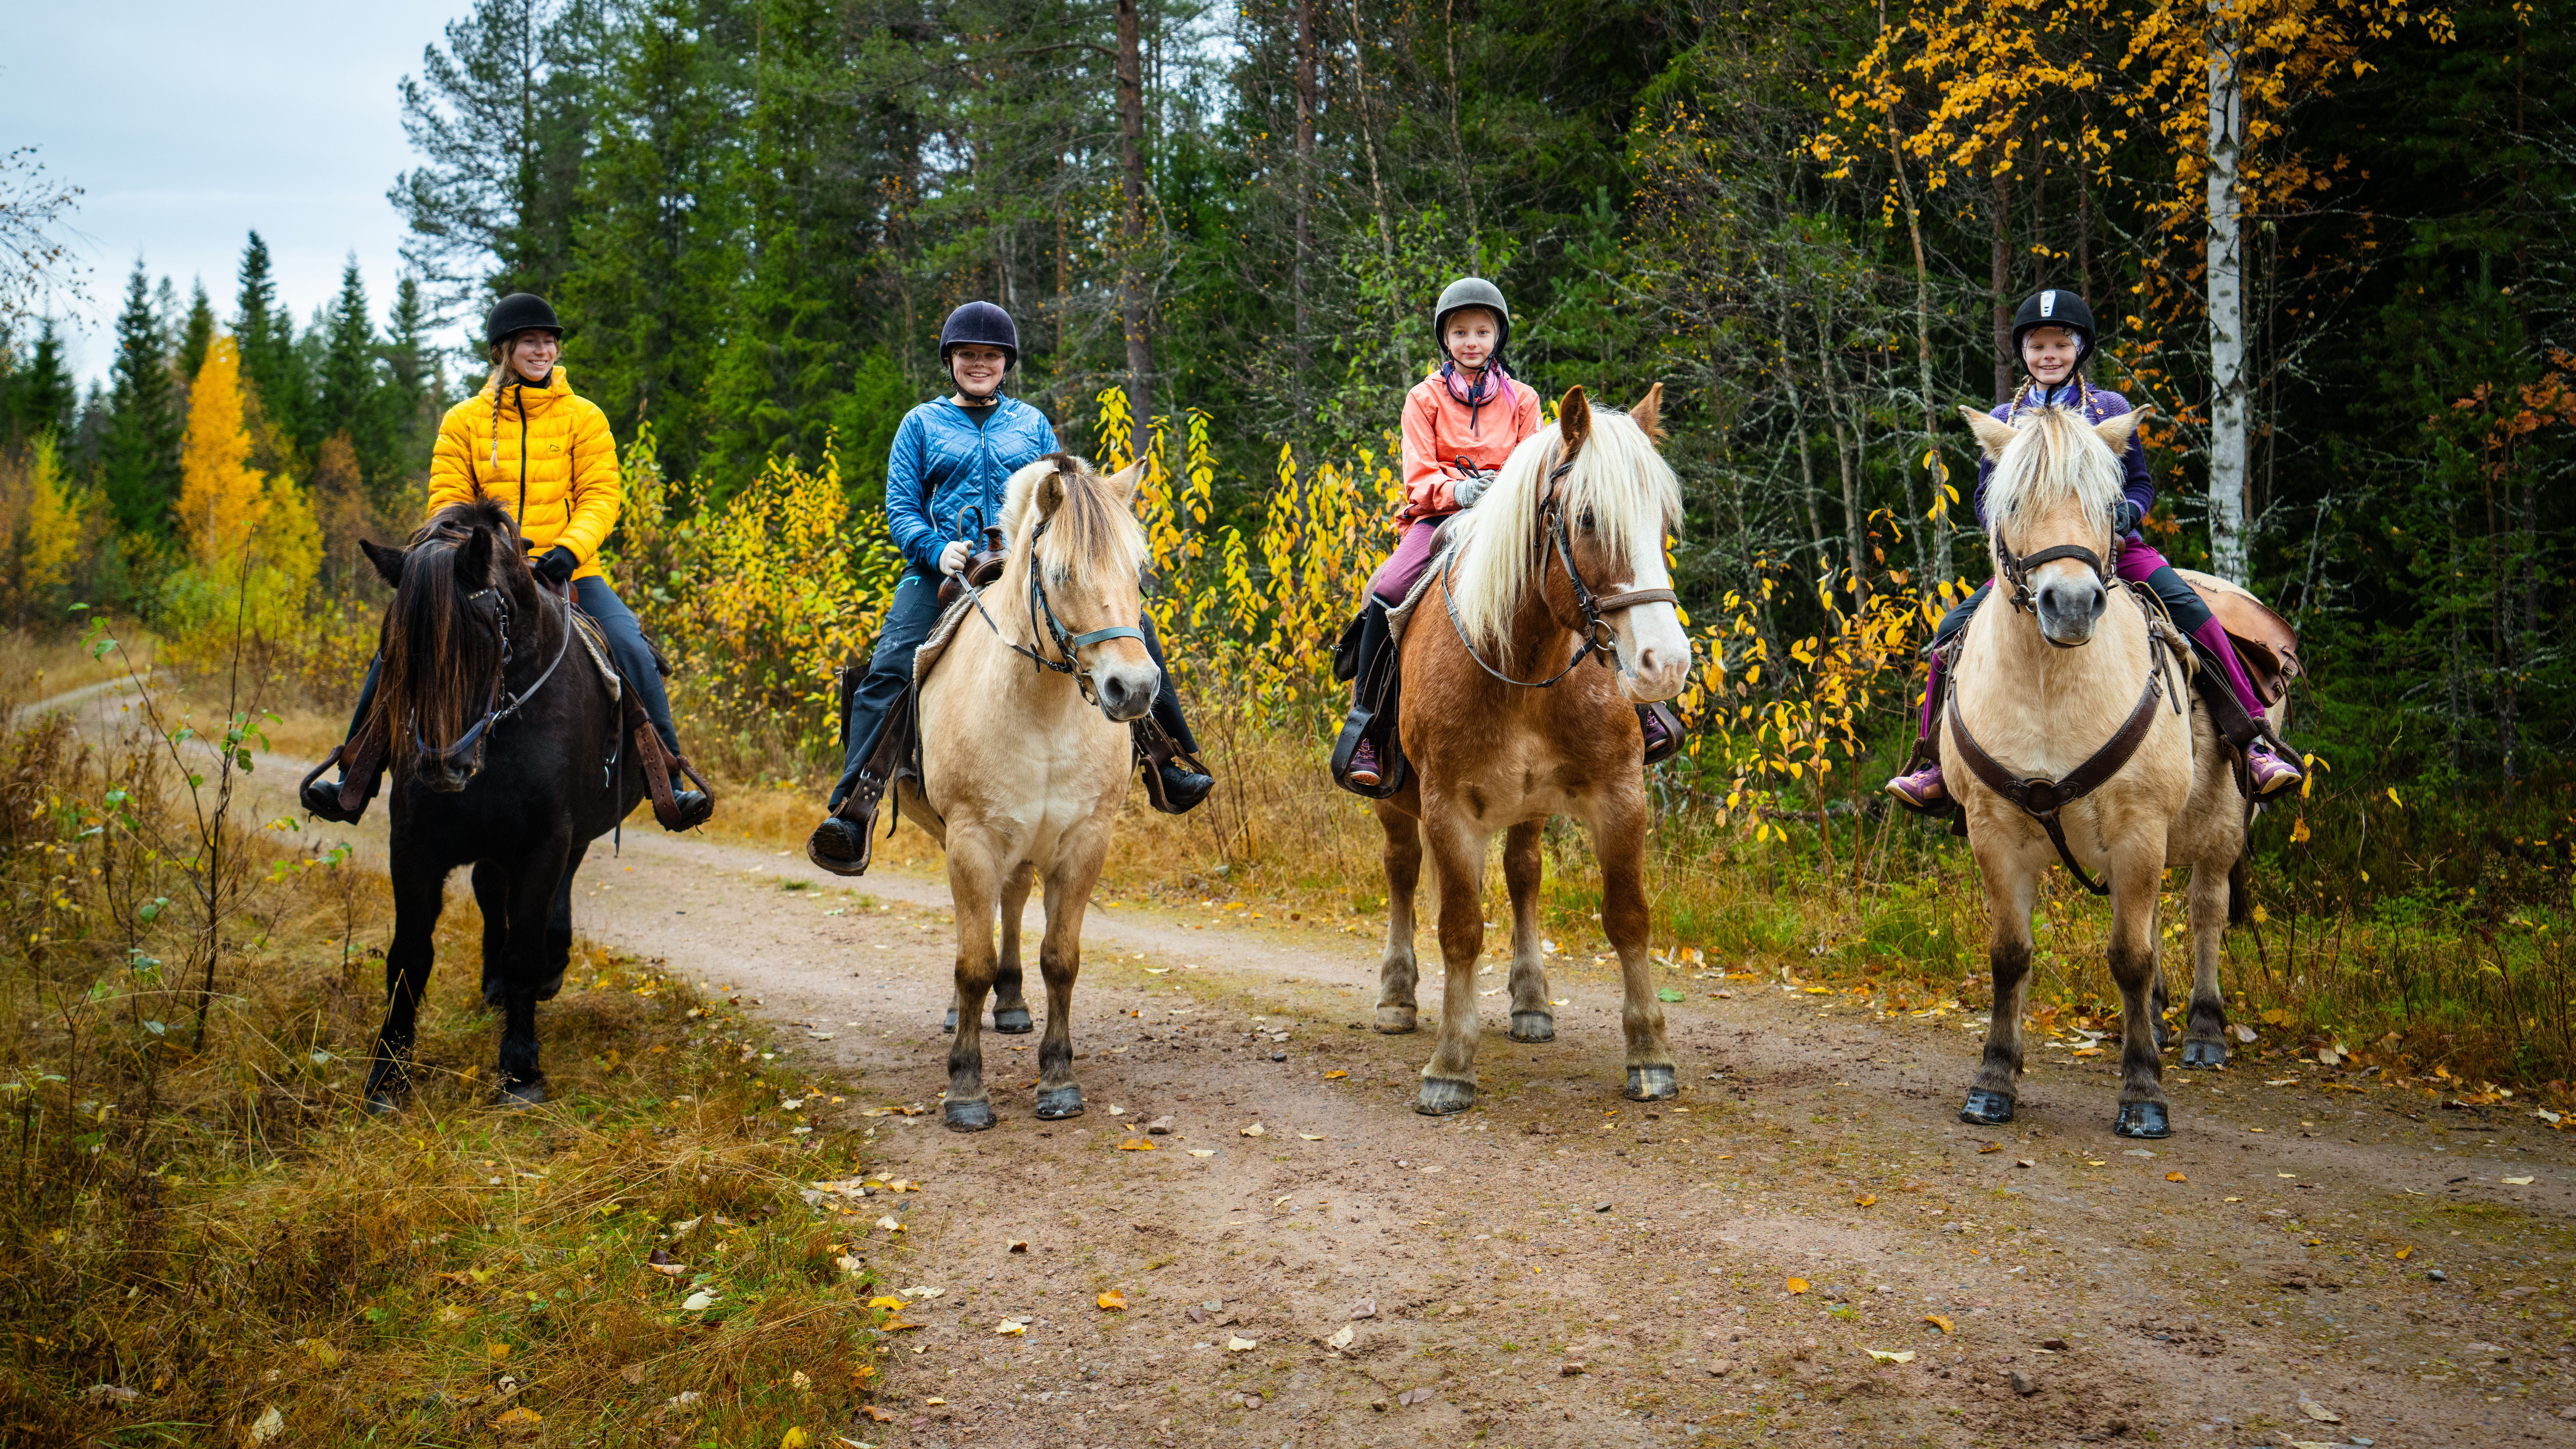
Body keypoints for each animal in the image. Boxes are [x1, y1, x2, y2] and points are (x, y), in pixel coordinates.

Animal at [356, 500, 645, 1111]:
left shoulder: (546, 842)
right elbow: (409, 955)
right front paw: (388, 1076)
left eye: (486, 637)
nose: (443, 765)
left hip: (570, 836)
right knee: (491, 894)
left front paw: (520, 1069)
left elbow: (524, 951)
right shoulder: (412, 844)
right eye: (396, 648)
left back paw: (551, 968)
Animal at [893, 453, 1160, 1132]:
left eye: (1138, 572)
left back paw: (1012, 1004)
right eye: (1062, 572)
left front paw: (1059, 1080)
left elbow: (1059, 958)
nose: (1134, 688)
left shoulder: (1085, 840)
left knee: (1011, 902)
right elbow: (972, 962)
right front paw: (965, 1089)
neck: (1041, 710)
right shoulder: (970, 839)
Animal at [1369, 384, 1694, 1115]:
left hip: (1529, 808)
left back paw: (1531, 1003)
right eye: (1589, 518)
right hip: (1394, 805)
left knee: (1523, 875)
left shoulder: (1621, 797)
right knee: (1402, 871)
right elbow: (1459, 928)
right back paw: (1397, 996)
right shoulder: (1447, 808)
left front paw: (1650, 1053)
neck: (1521, 664)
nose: (1665, 663)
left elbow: (1628, 917)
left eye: (1664, 520)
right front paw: (1450, 1065)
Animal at [1945, 403, 2278, 1138]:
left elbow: (2129, 958)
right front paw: (1993, 1079)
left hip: (2218, 830)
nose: (2070, 604)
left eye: (2106, 502)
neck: (2050, 688)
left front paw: (2143, 1092)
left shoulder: (2138, 828)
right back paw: (2156, 1017)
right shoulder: (1994, 831)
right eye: (2012, 500)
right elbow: (2010, 955)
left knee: (2205, 910)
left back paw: (2203, 1030)